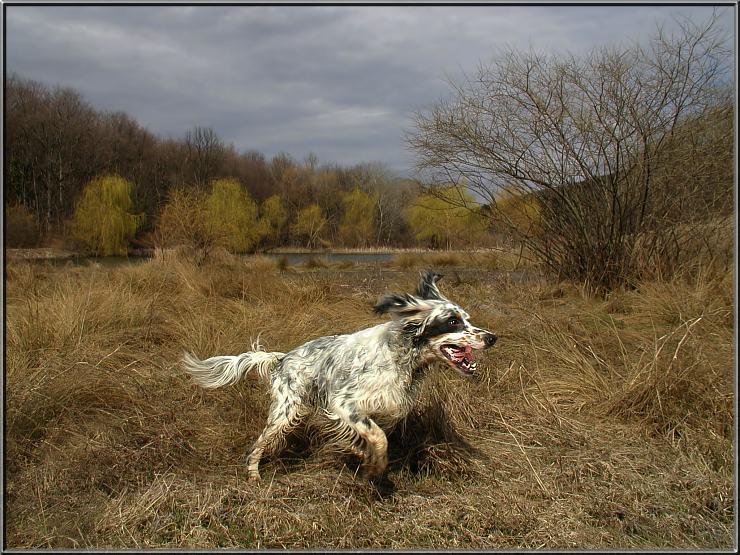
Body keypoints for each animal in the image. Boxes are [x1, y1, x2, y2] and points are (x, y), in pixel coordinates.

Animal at [183, 270, 500, 482]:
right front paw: (373, 468)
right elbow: (379, 438)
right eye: (452, 321)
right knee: (257, 445)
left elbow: (371, 435)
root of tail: (282, 358)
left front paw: (360, 453)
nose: (492, 337)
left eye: (467, 319)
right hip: (286, 412)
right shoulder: (343, 403)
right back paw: (253, 475)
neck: (402, 355)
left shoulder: (388, 408)